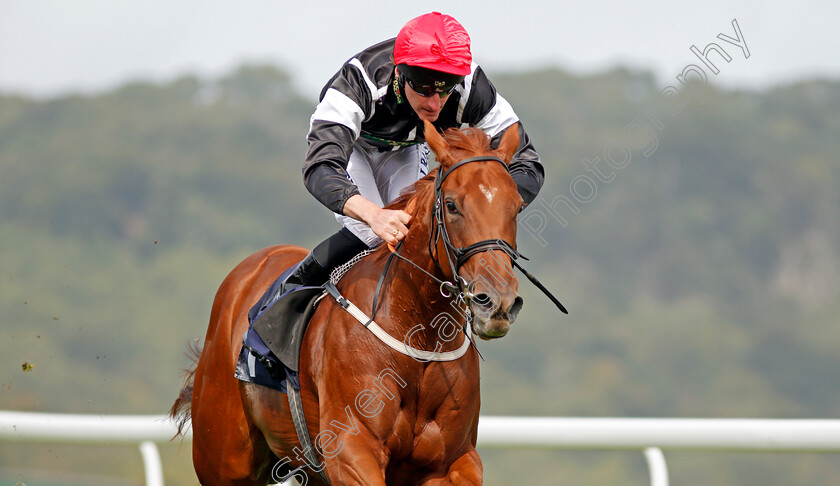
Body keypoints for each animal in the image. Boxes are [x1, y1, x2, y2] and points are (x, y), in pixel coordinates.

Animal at [171, 119, 524, 484]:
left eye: (517, 205)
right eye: (452, 205)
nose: (496, 301)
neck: (417, 333)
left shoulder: (453, 460)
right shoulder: (351, 450)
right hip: (225, 458)